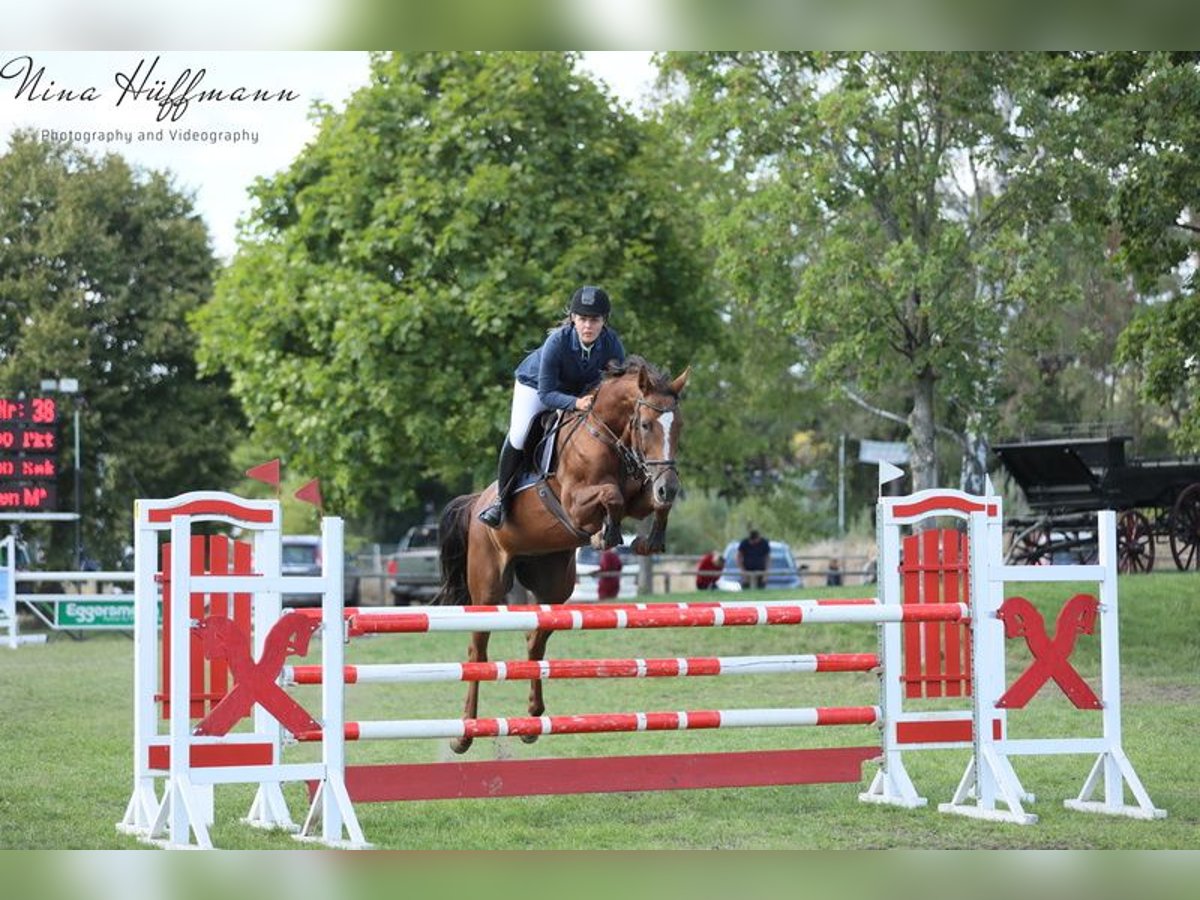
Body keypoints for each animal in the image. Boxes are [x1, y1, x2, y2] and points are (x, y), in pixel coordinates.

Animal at [436, 355, 691, 758]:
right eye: (645, 424)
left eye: (678, 425)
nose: (669, 486)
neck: (608, 435)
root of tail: (475, 502)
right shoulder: (575, 504)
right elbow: (611, 497)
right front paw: (607, 534)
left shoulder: (639, 495)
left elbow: (650, 504)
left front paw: (647, 540)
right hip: (488, 586)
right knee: (478, 652)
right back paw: (464, 735)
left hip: (554, 584)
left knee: (535, 643)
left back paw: (531, 720)